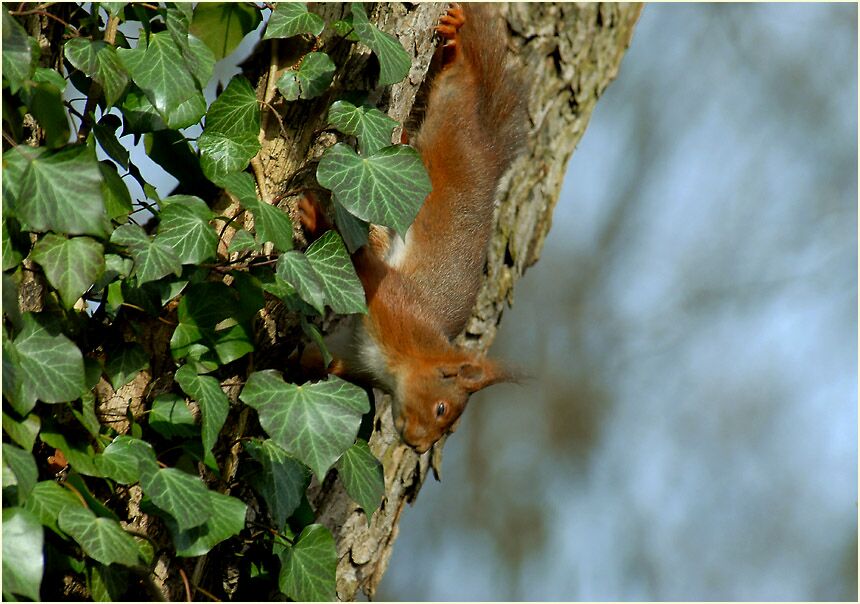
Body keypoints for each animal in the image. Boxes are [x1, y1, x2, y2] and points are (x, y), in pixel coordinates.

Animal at [306, 3, 528, 448]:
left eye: (449, 427)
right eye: (441, 408)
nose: (420, 445)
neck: (412, 354)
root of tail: (486, 150)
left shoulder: (358, 360)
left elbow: (326, 364)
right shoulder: (394, 306)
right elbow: (362, 265)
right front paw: (319, 220)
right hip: (452, 121)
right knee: (459, 80)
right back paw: (453, 45)